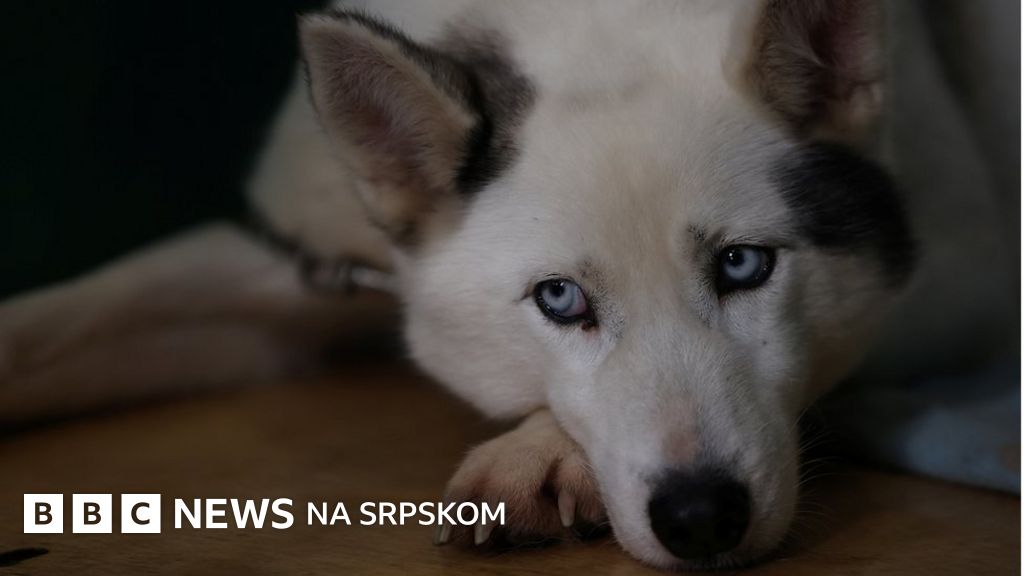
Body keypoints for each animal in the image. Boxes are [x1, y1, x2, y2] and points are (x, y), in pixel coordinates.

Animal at [0, 0, 1016, 570]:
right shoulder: (297, 262)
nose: (701, 519)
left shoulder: (965, 289)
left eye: (743, 265)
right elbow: (42, 327)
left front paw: (543, 454)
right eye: (560, 300)